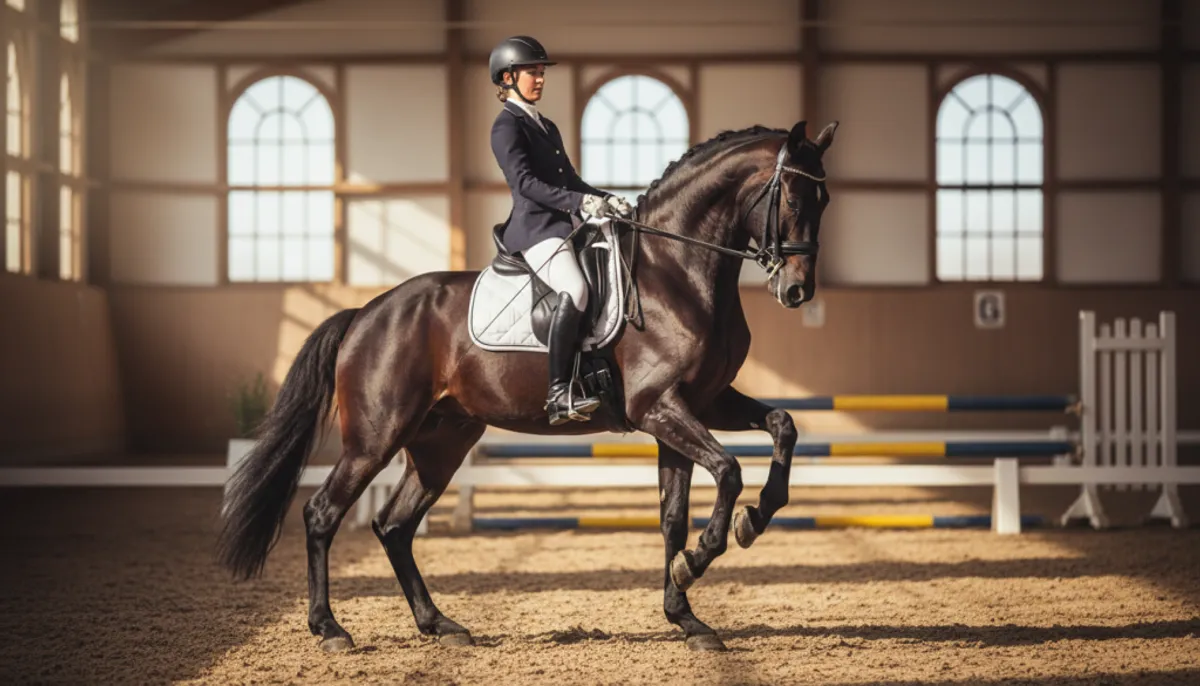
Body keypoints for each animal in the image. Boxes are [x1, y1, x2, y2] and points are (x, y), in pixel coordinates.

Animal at [216, 119, 838, 653]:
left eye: (825, 201)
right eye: (790, 198)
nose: (798, 292)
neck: (677, 269)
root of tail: (366, 312)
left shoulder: (699, 404)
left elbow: (758, 446)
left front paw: (691, 606)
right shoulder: (658, 407)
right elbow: (728, 471)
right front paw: (715, 548)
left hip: (441, 441)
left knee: (394, 526)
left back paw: (439, 624)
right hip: (375, 438)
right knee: (323, 514)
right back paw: (331, 629)